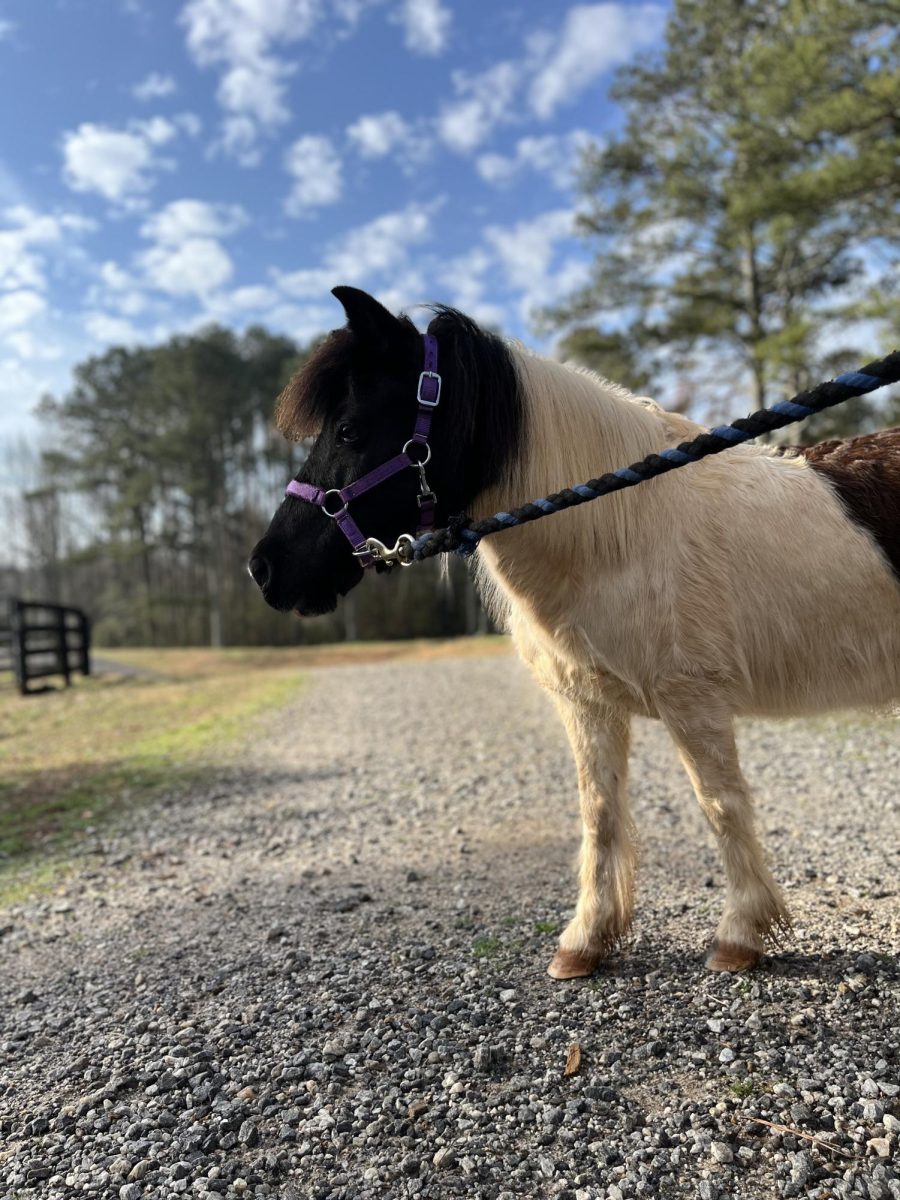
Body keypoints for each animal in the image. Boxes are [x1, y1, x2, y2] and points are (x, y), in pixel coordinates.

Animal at [249, 285, 900, 979]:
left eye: (349, 428)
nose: (265, 568)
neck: (622, 527)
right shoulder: (588, 704)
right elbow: (601, 813)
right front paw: (586, 941)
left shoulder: (693, 698)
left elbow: (720, 804)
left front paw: (740, 936)